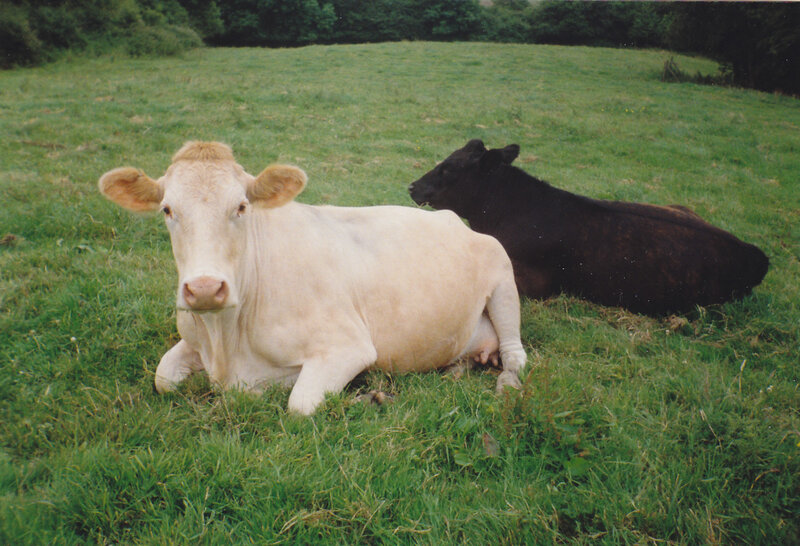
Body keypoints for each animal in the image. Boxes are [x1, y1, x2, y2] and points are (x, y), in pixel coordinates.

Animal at [99, 141, 527, 414]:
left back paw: (506, 383)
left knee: (515, 355)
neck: (226, 340)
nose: (205, 289)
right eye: (168, 210)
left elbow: (299, 403)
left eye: (242, 206)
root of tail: (453, 219)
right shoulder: (192, 338)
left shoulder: (348, 346)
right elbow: (163, 378)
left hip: (503, 279)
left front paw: (368, 397)